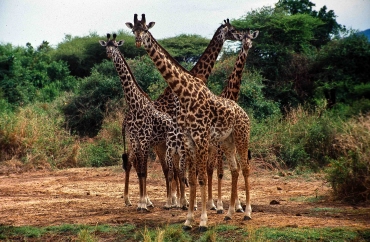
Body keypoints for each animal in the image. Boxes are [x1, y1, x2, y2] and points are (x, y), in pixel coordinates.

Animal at [99, 33, 186, 211]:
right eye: (106, 46)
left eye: (115, 46)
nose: (109, 54)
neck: (134, 105)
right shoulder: (134, 139)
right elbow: (139, 171)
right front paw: (142, 202)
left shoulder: (145, 139)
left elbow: (144, 170)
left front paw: (144, 203)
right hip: (161, 146)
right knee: (169, 170)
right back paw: (173, 201)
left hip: (169, 146)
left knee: (174, 170)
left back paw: (178, 202)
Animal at [126, 14, 251, 230]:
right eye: (133, 30)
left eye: (146, 30)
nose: (138, 41)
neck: (184, 92)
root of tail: (245, 114)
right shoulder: (189, 139)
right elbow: (191, 178)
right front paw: (189, 218)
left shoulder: (200, 138)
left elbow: (201, 177)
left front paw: (202, 219)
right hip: (221, 142)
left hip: (239, 138)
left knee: (244, 168)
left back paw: (246, 212)